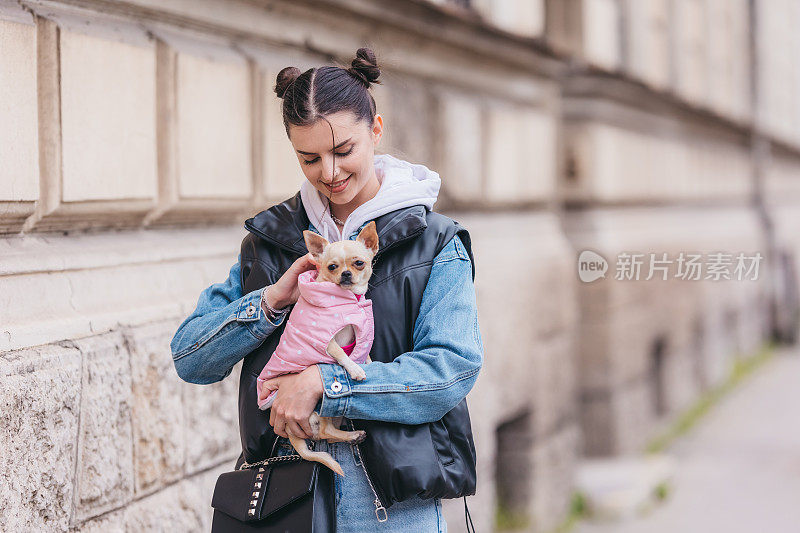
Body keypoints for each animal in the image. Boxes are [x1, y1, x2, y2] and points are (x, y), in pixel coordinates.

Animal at [258, 218, 380, 476]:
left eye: (359, 263)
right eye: (332, 267)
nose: (345, 273)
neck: (345, 300)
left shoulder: (356, 336)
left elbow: (364, 352)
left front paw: (369, 363)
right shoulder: (327, 341)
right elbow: (341, 354)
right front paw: (355, 369)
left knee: (329, 436)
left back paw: (352, 436)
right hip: (320, 404)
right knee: (326, 432)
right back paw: (351, 434)